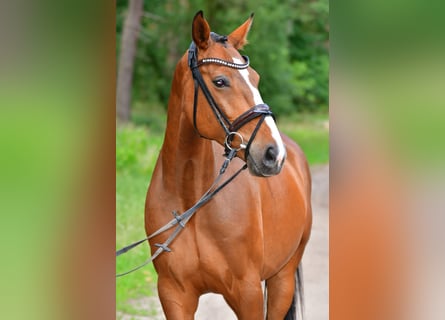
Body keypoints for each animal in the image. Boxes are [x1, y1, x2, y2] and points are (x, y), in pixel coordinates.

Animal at [144, 10, 310, 320]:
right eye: (220, 81)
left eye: (255, 78)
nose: (273, 154)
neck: (192, 203)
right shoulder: (174, 295)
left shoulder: (248, 294)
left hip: (282, 278)